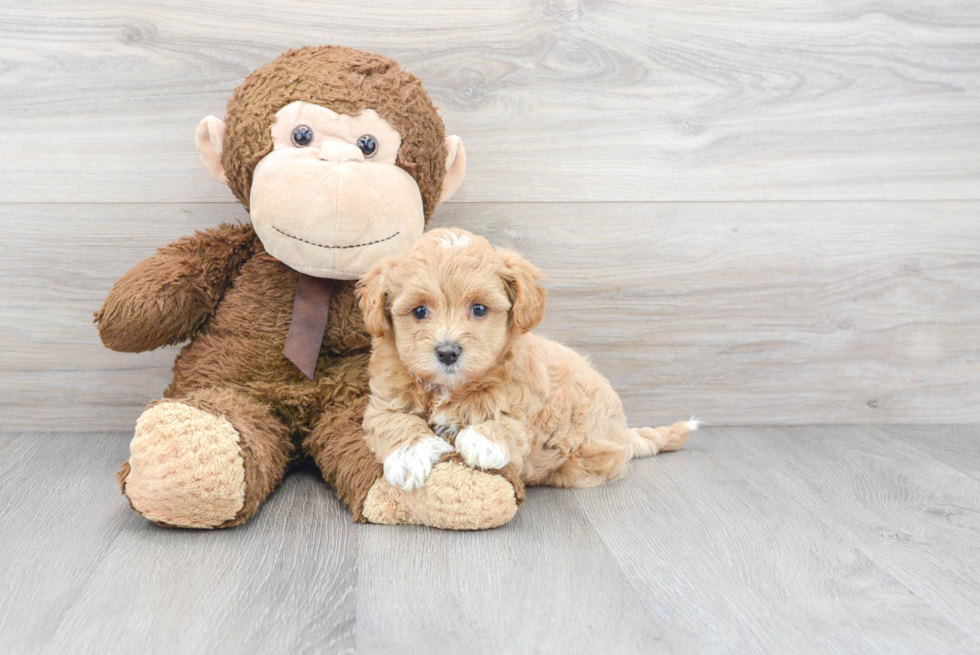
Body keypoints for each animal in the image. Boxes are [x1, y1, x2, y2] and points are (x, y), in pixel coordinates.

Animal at [356, 228, 692, 490]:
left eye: (479, 309)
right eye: (419, 311)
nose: (448, 351)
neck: (449, 387)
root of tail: (623, 431)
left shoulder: (527, 403)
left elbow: (512, 425)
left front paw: (483, 440)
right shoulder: (383, 398)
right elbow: (392, 420)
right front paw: (411, 455)